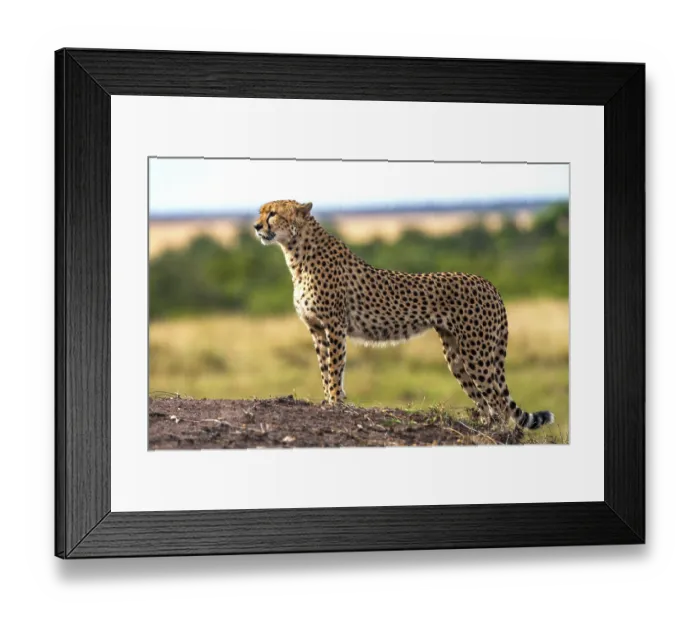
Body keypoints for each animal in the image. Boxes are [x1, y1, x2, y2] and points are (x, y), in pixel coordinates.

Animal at [254, 199, 554, 430]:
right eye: (260, 212)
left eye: (273, 213)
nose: (256, 227)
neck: (296, 254)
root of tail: (488, 283)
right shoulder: (316, 329)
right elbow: (324, 369)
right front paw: (327, 400)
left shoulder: (334, 326)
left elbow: (335, 367)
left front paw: (335, 402)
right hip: (456, 355)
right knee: (486, 402)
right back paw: (484, 426)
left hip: (477, 353)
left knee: (499, 402)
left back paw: (501, 432)